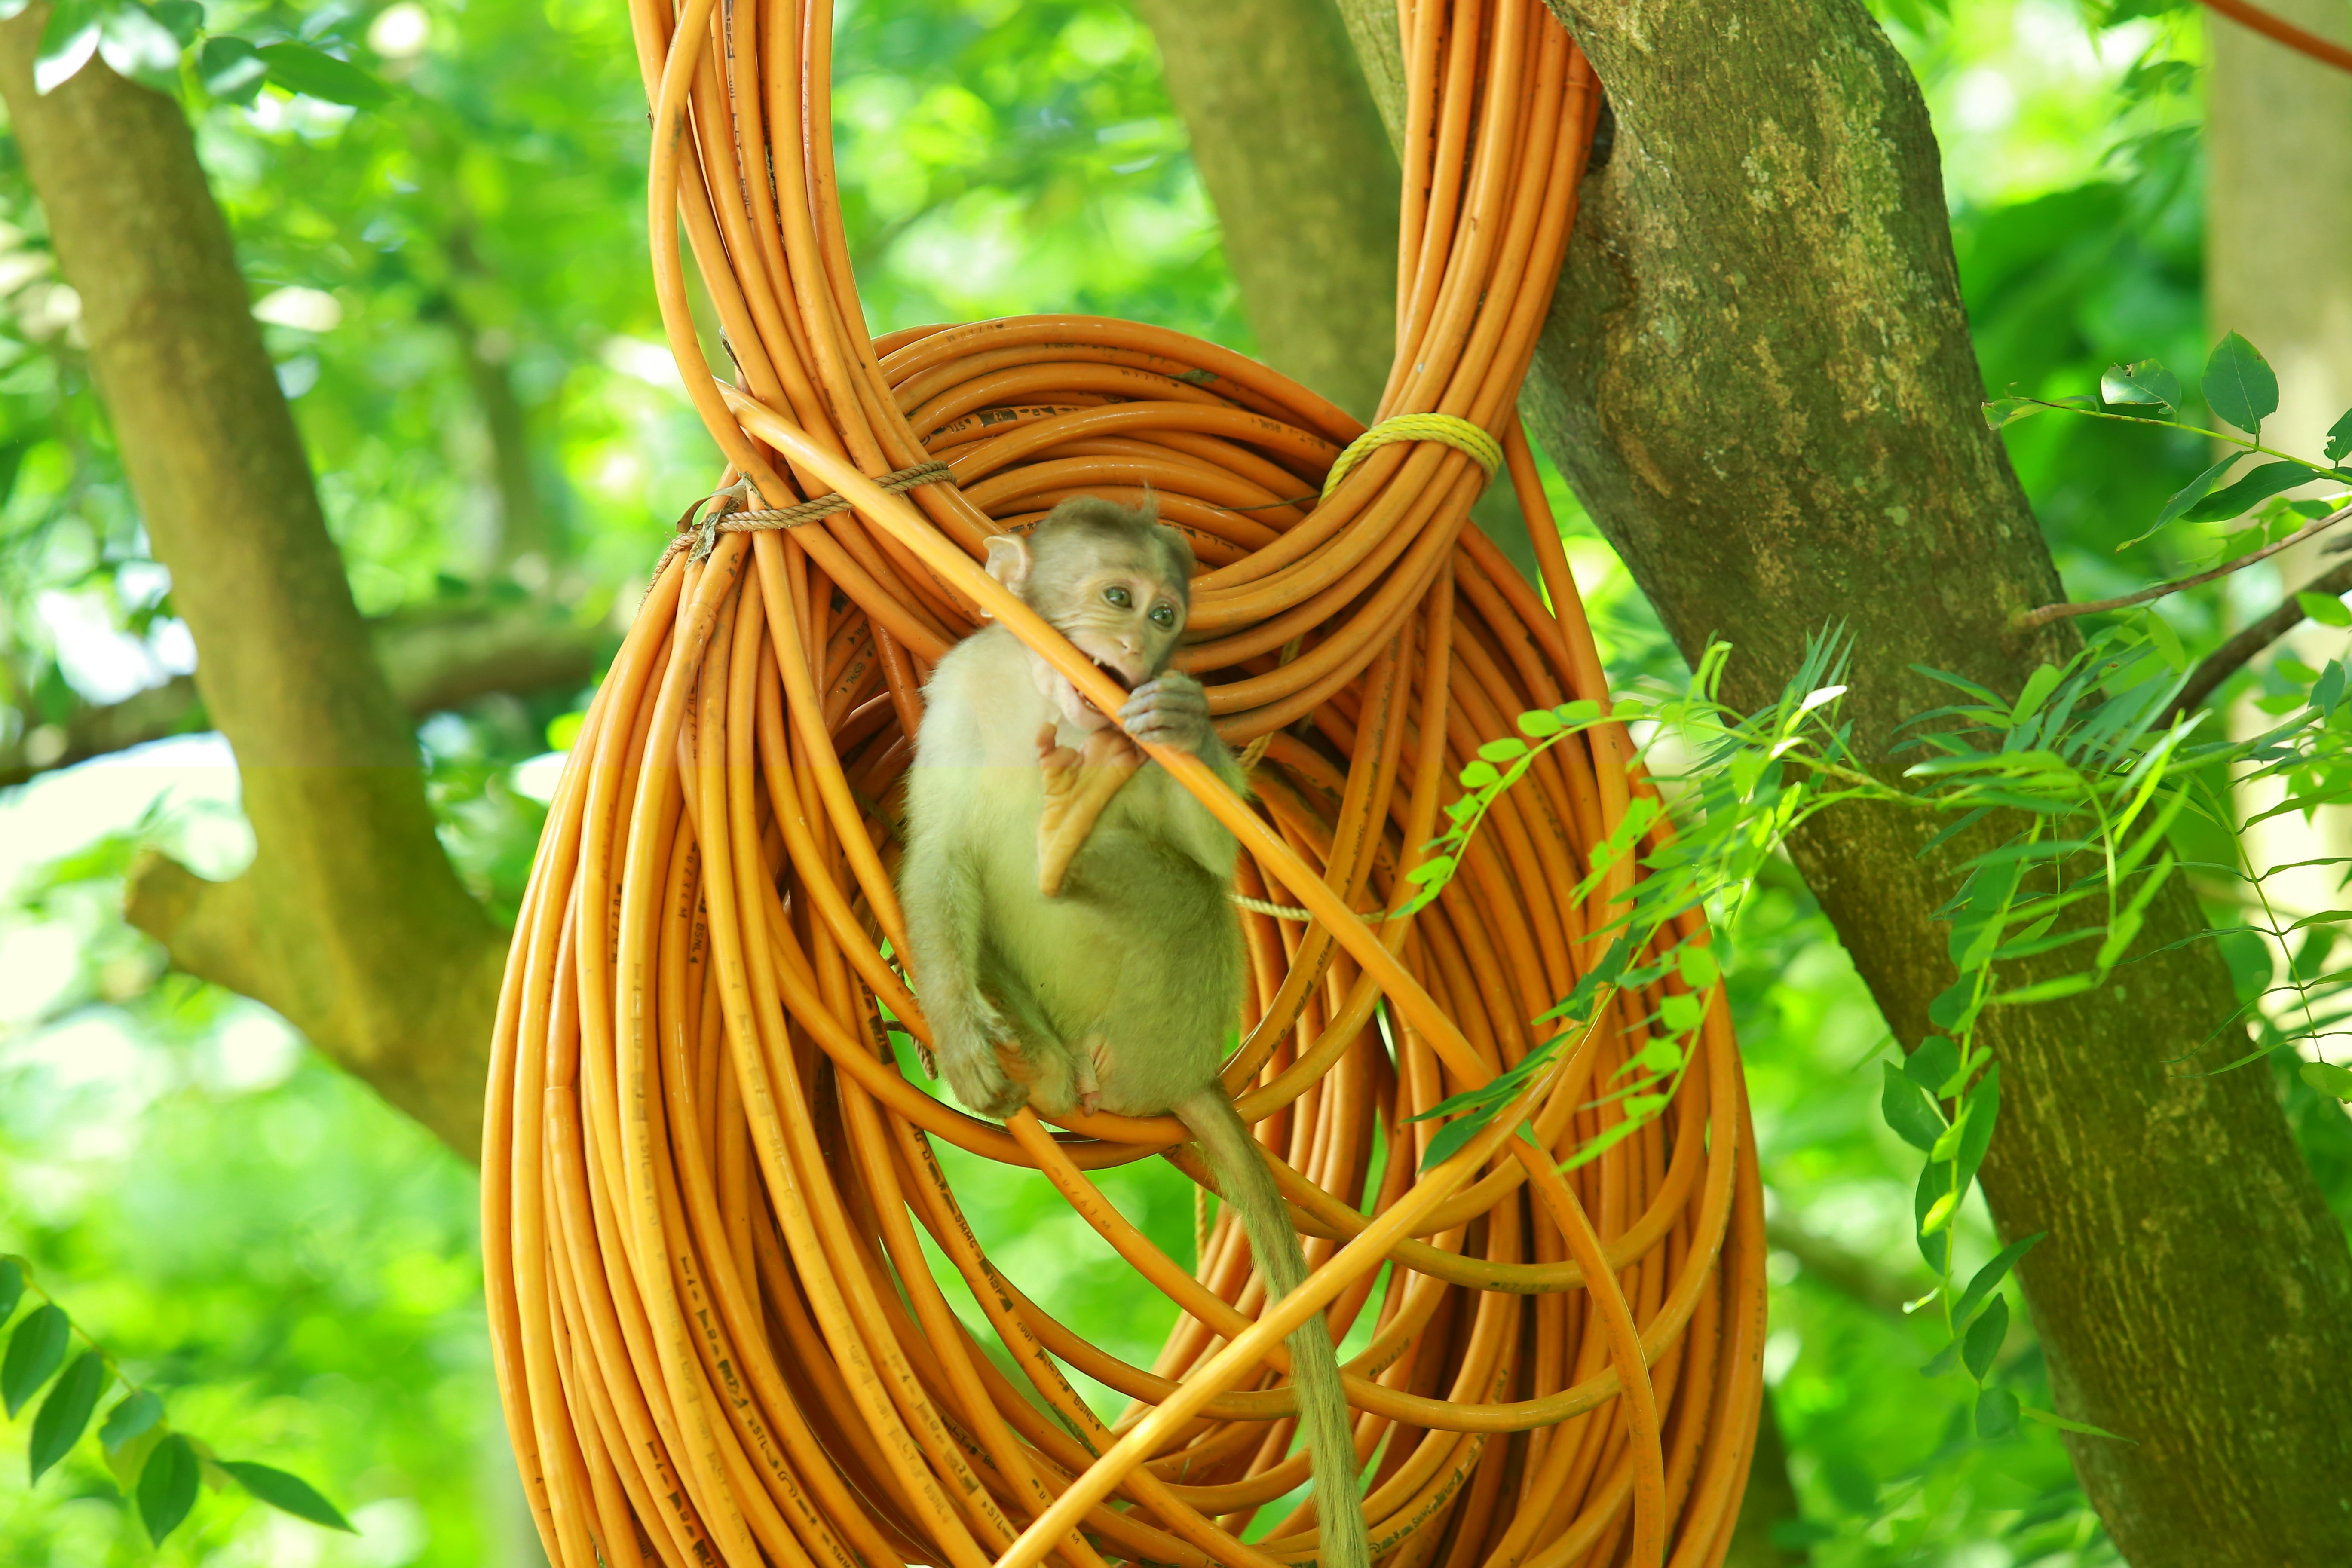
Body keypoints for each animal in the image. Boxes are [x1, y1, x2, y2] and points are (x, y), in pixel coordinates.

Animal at [896, 495, 1368, 1568]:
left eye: (1165, 618)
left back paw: (1066, 845)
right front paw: (957, 1031)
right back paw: (1031, 1041)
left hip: (1168, 1018)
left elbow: (1216, 855)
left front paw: (1189, 725)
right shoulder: (955, 685)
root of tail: (1191, 1072)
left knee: (1176, 891)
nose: (1134, 652)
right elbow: (937, 855)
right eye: (1117, 597)